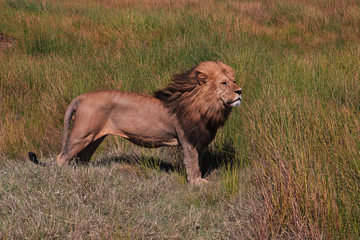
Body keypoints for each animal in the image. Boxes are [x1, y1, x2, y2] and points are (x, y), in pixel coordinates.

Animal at [28, 61, 242, 185]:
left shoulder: (198, 140)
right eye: (224, 83)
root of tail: (81, 96)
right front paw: (198, 184)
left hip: (94, 137)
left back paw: (86, 174)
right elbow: (192, 163)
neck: (207, 105)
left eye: (234, 80)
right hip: (81, 135)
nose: (240, 91)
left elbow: (198, 162)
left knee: (82, 158)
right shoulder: (187, 139)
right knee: (61, 157)